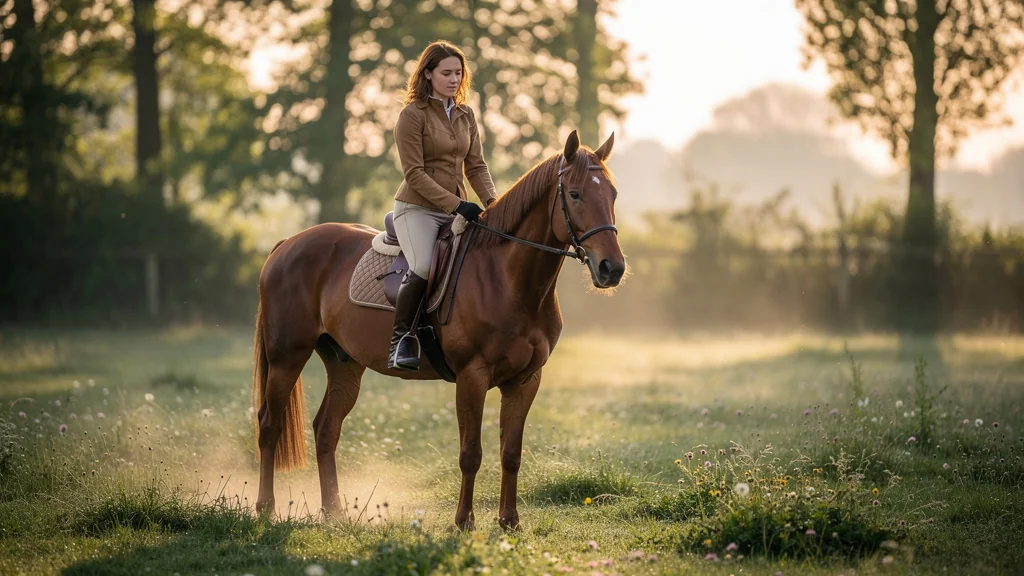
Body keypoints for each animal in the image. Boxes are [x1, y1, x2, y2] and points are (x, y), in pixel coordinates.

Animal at [251, 130, 625, 530]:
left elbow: (511, 452)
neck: (507, 279)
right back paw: (265, 507)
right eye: (575, 194)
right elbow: (470, 453)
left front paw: (509, 521)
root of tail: (287, 244)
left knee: (326, 429)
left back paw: (333, 512)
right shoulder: (472, 377)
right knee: (270, 426)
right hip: (287, 358)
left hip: (344, 364)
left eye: (613, 194)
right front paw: (463, 521)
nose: (612, 268)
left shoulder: (525, 380)